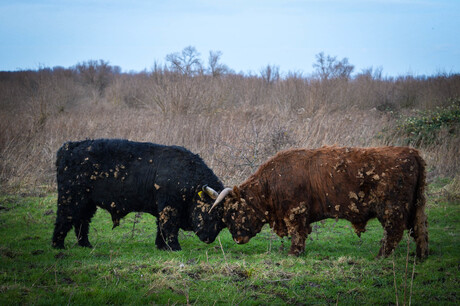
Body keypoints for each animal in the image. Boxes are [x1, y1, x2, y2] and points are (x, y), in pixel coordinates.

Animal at [52, 139, 225, 251]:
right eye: (212, 213)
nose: (209, 238)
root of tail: (70, 146)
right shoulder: (169, 207)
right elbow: (169, 227)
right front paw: (175, 247)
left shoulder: (161, 209)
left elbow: (160, 228)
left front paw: (161, 246)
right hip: (71, 199)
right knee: (64, 219)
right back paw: (58, 246)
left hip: (87, 203)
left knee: (82, 222)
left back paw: (86, 245)